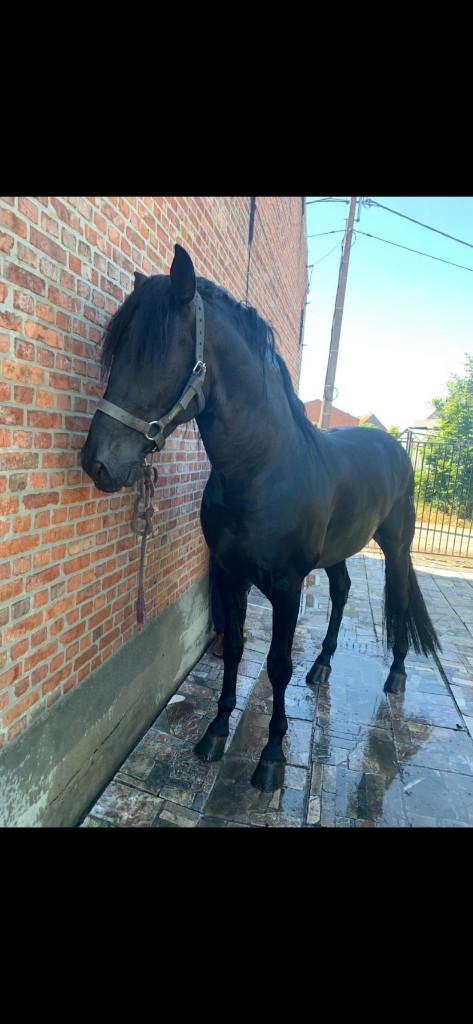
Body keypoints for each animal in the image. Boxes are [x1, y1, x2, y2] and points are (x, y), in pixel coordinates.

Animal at [81, 243, 440, 793]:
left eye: (154, 354)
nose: (97, 462)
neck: (261, 470)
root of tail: (394, 445)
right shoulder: (230, 575)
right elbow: (233, 647)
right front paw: (214, 733)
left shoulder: (287, 588)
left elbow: (276, 666)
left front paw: (270, 758)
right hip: (338, 552)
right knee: (341, 592)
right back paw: (322, 667)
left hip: (396, 545)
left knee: (397, 599)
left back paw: (396, 676)